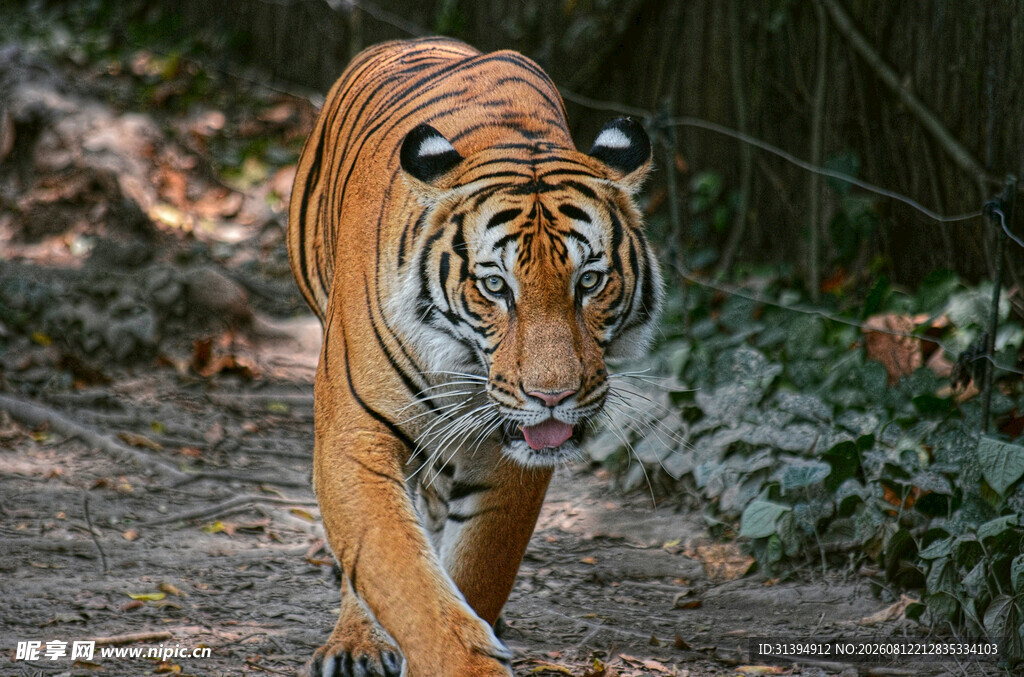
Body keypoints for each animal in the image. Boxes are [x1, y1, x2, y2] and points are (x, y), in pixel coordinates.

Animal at [287, 37, 663, 677]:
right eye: (494, 286)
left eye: (589, 281)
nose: (553, 396)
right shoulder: (355, 438)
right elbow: (399, 573)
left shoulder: (511, 459)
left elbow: (478, 568)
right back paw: (358, 644)